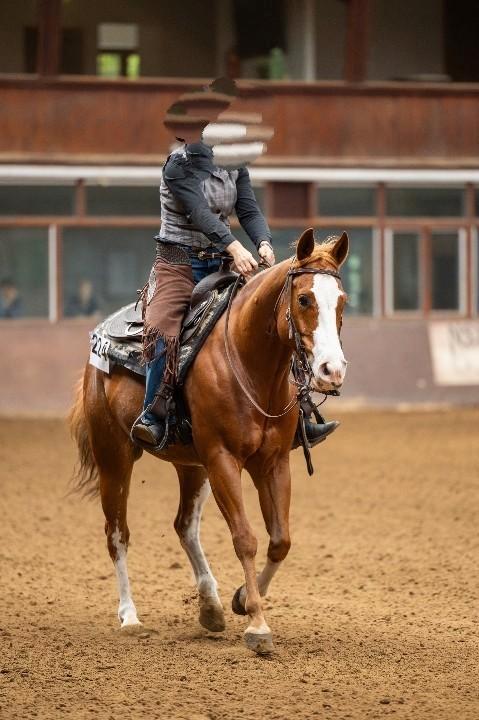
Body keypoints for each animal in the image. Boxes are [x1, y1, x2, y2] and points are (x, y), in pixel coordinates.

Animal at [69, 227, 349, 654]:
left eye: (342, 301)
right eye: (304, 298)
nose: (331, 371)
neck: (251, 366)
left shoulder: (273, 463)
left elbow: (280, 540)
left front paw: (241, 600)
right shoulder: (223, 460)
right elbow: (245, 538)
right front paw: (257, 625)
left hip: (191, 466)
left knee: (185, 526)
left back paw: (210, 605)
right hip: (114, 457)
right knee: (117, 534)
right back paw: (130, 616)